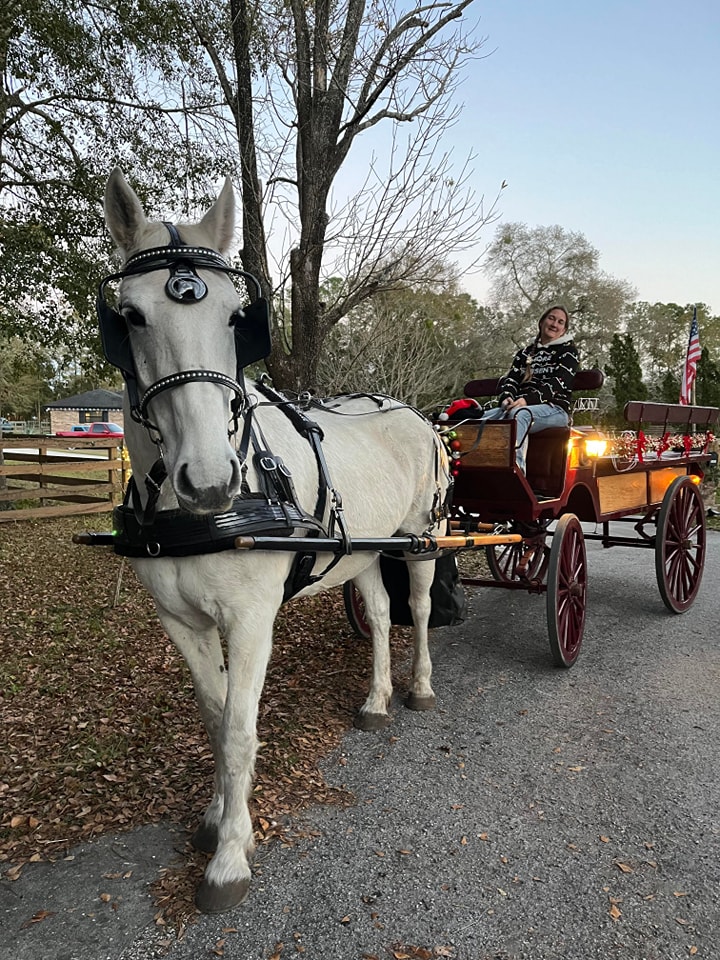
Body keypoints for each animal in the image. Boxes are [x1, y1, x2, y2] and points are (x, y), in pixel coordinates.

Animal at [101, 169, 450, 912]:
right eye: (131, 317)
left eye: (238, 316)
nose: (207, 479)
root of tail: (414, 411)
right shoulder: (179, 620)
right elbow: (213, 717)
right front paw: (213, 818)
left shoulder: (251, 618)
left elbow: (239, 729)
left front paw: (231, 854)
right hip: (364, 548)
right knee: (382, 615)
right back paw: (376, 700)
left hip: (423, 537)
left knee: (421, 607)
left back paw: (419, 688)